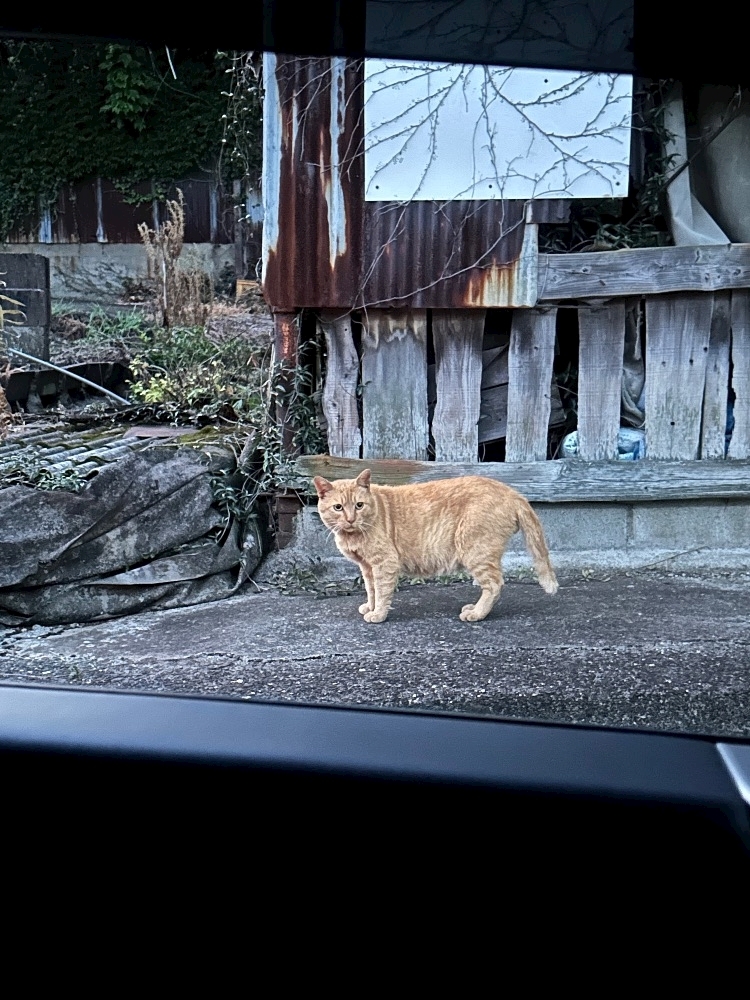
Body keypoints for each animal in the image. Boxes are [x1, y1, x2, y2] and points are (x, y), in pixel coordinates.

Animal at [312, 470, 560, 624]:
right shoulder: (367, 567)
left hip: (475, 551)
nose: (351, 519)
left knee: (494, 584)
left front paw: (378, 614)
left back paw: (477, 614)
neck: (353, 535)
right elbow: (371, 591)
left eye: (359, 505)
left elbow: (382, 592)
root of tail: (512, 492)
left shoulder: (384, 563)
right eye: (338, 507)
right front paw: (370, 607)